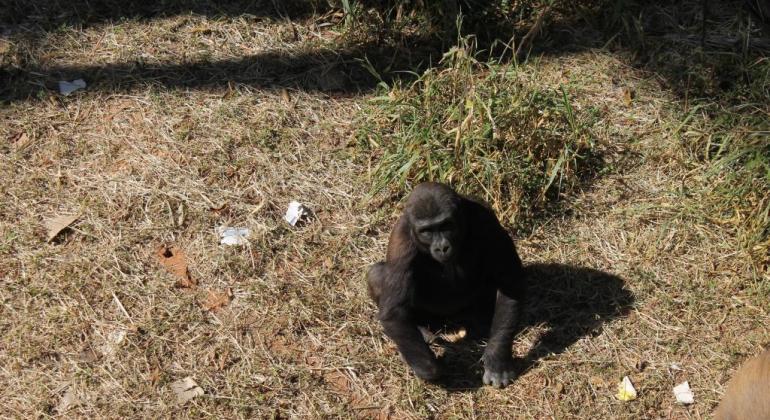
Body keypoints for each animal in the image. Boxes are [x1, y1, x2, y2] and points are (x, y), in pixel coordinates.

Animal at [364, 181, 520, 388]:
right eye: (426, 232)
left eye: (446, 226)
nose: (442, 247)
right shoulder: (401, 237)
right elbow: (394, 311)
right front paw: (429, 367)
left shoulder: (486, 218)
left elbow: (509, 280)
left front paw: (497, 361)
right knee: (376, 274)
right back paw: (422, 330)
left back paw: (480, 323)